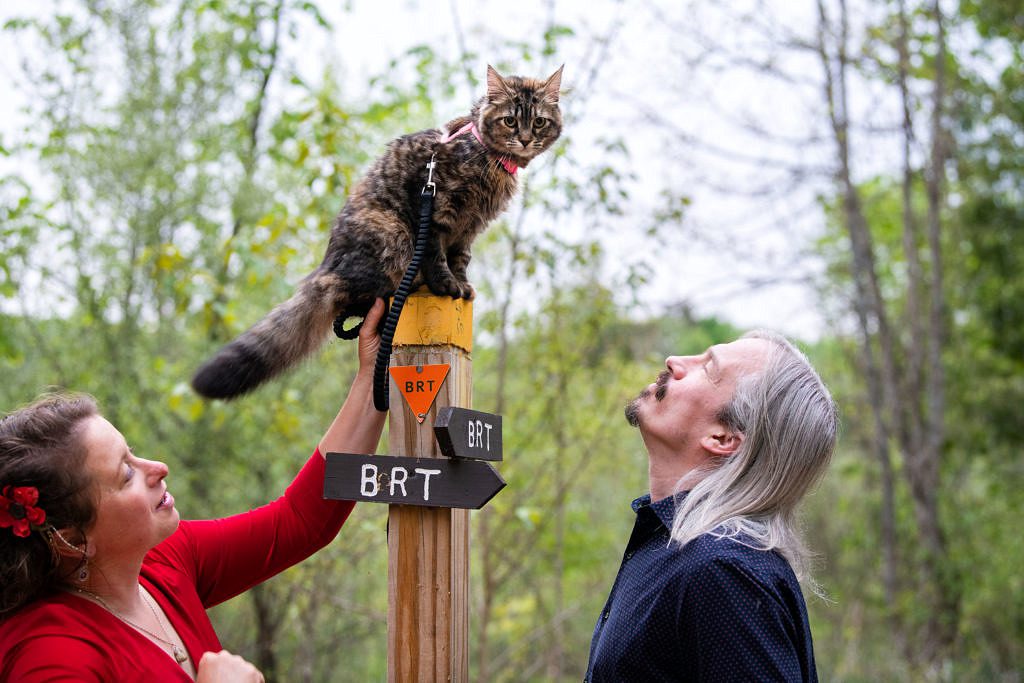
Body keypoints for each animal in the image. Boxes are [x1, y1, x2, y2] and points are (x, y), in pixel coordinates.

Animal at [188, 66, 565, 397]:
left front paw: (463, 286)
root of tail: (324, 270)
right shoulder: (435, 210)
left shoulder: (468, 228)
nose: (526, 140)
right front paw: (446, 286)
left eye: (539, 122)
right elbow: (438, 257)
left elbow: (461, 259)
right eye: (510, 120)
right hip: (392, 232)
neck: (485, 155)